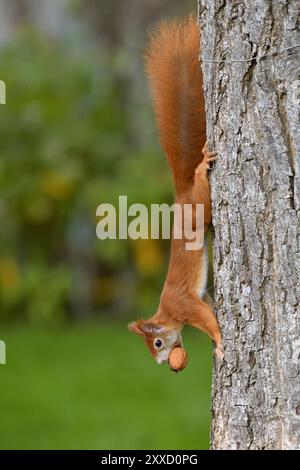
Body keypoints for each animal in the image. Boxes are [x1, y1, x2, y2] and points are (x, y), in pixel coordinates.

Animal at [127, 15, 224, 364]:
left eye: (156, 343)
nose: (161, 364)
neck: (167, 312)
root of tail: (182, 195)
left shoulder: (186, 305)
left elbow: (208, 321)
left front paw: (220, 344)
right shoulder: (198, 300)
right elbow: (210, 306)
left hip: (202, 204)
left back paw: (201, 167)